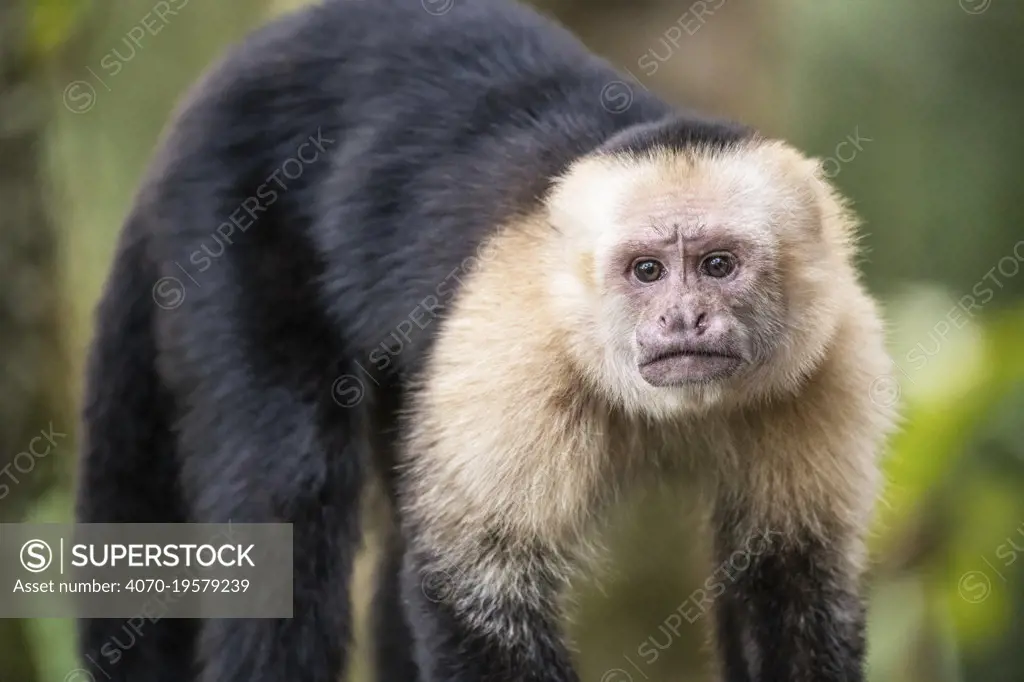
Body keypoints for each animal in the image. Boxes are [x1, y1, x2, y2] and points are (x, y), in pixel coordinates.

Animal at [77, 1, 897, 679]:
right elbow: (474, 591)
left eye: (719, 265)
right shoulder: (516, 348)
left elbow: (793, 585)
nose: (683, 319)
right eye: (648, 270)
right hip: (219, 223)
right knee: (288, 487)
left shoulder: (835, 357)